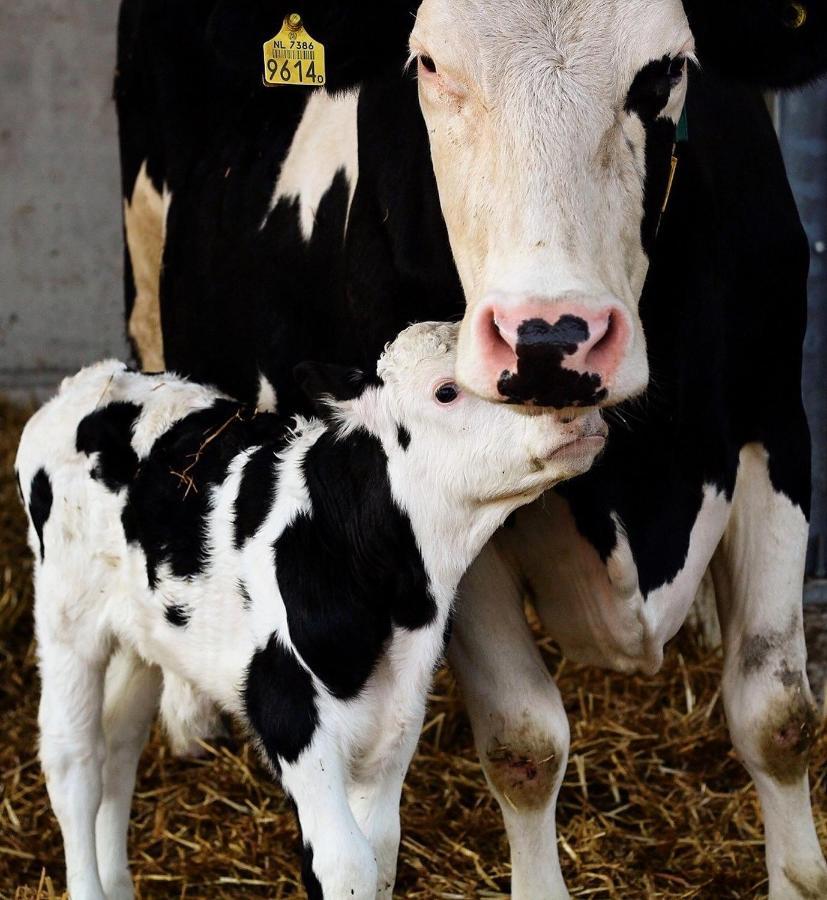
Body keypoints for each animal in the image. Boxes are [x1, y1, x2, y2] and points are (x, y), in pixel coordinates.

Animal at [14, 324, 608, 900]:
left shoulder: (397, 720)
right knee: (74, 763)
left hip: (146, 631)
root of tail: (94, 379)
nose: (578, 407)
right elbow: (346, 867)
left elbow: (381, 855)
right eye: (447, 391)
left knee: (119, 743)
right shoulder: (289, 713)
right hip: (66, 620)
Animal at [115, 0, 827, 896]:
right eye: (427, 63)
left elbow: (777, 717)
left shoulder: (777, 425)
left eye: (667, 69)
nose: (550, 339)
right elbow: (524, 741)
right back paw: (185, 709)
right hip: (147, 258)